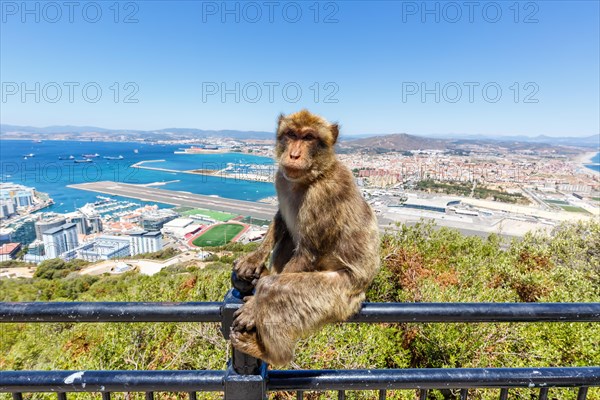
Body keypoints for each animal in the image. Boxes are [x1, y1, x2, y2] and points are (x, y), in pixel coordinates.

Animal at [231, 109, 380, 366]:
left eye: (309, 137)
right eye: (291, 134)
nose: (293, 154)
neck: (312, 177)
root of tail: (361, 293)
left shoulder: (323, 196)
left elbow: (308, 252)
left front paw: (254, 308)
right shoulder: (281, 178)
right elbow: (281, 220)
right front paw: (254, 259)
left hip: (336, 295)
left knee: (275, 290)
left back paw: (272, 353)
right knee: (289, 239)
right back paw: (266, 274)